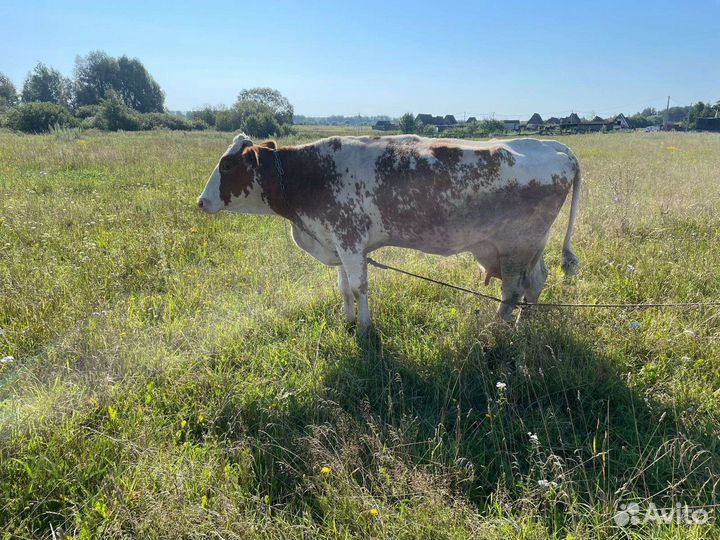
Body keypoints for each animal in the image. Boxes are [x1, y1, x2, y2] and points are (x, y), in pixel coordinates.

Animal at [197, 133, 581, 331]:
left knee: (513, 289)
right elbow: (343, 288)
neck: (308, 176)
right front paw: (348, 320)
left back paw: (497, 330)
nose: (201, 201)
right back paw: (524, 323)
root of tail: (554, 145)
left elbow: (359, 286)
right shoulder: (338, 241)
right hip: (532, 245)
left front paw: (365, 327)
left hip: (516, 245)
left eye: (227, 164)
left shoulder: (350, 240)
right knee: (536, 280)